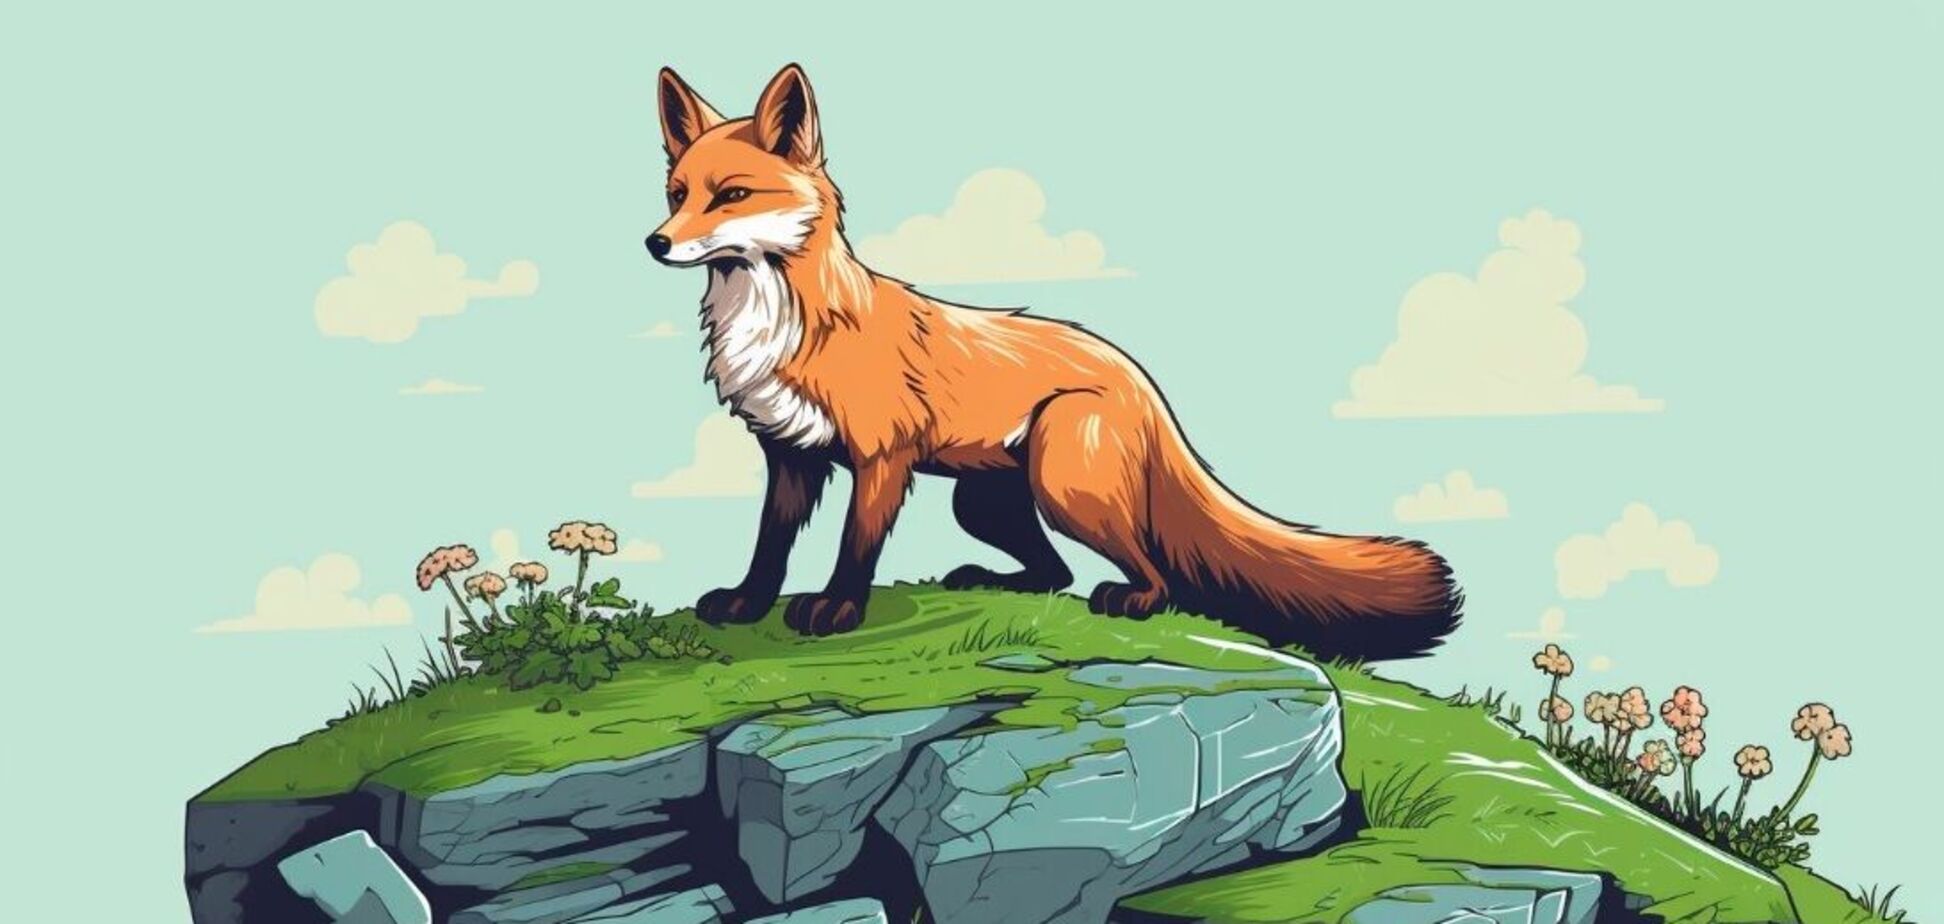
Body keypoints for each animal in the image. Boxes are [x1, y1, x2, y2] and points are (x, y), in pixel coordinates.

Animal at [644, 64, 1463, 660]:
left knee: (1151, 572)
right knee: (1054, 572)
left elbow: (855, 548)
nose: (656, 243)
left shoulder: (882, 458)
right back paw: (993, 579)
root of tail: (1140, 377)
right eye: (676, 194)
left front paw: (838, 608)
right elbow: (768, 546)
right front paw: (746, 605)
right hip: (986, 502)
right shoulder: (789, 453)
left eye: (733, 194)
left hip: (1064, 484)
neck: (781, 323)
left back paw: (1129, 599)